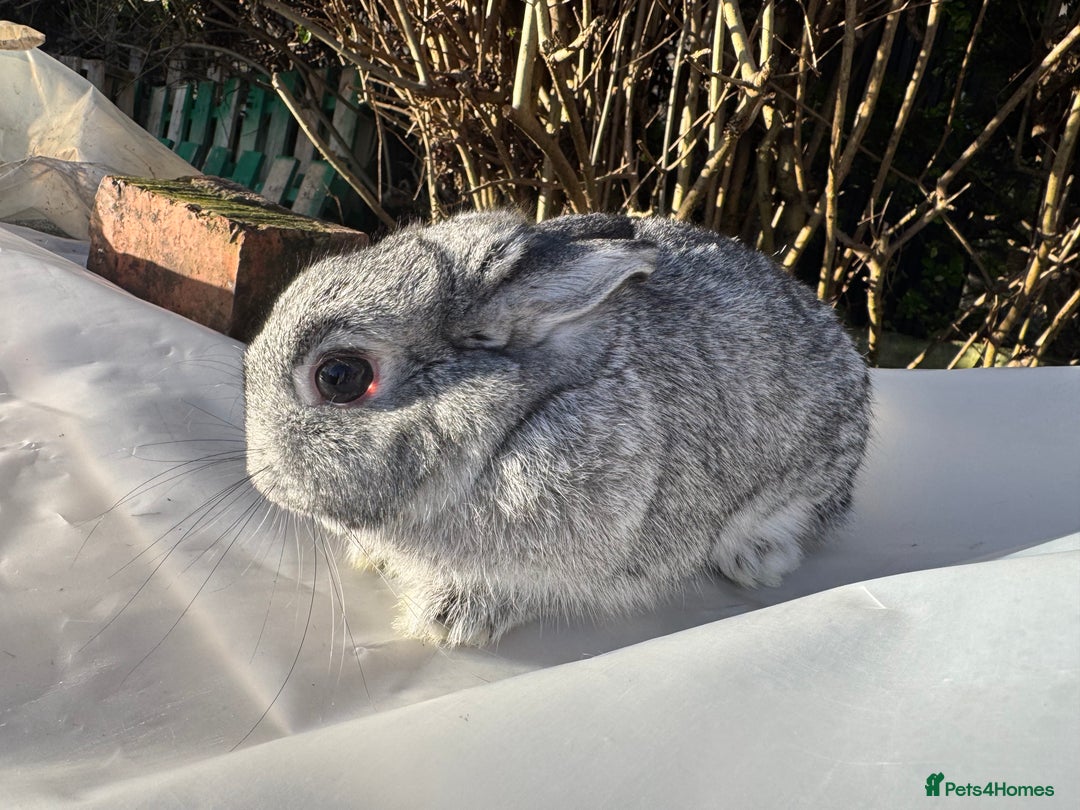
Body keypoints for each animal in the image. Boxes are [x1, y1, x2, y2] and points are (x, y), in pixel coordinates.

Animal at [243, 210, 871, 646]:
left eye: (340, 376)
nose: (259, 476)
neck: (511, 423)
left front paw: (444, 623)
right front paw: (370, 560)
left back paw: (756, 562)